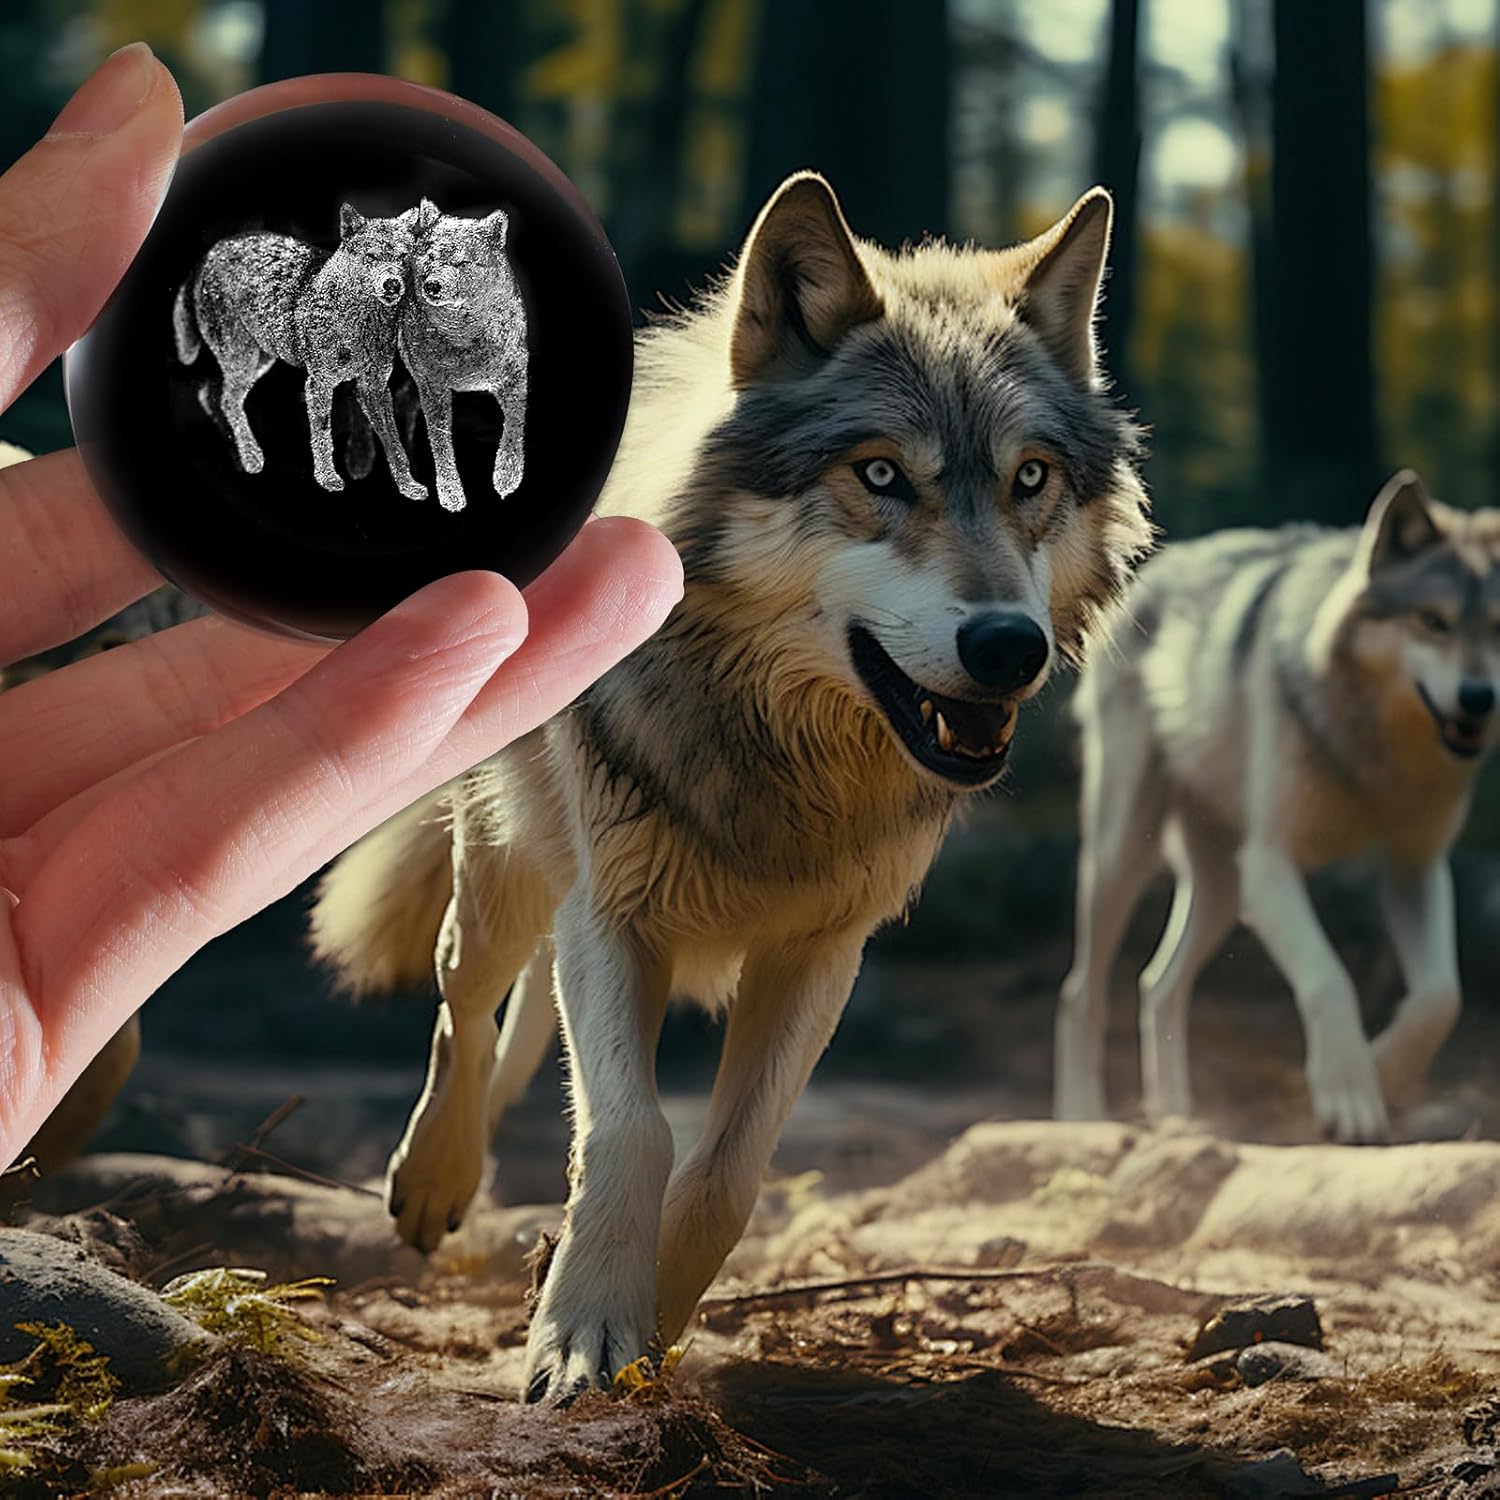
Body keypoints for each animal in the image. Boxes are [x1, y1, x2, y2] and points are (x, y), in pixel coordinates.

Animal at [172, 205, 427, 500]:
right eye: (371, 256)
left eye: (403, 257)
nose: (392, 284)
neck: (361, 323)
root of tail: (210, 253)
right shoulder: (319, 384)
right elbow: (323, 436)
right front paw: (328, 479)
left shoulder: (373, 387)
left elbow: (395, 443)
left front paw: (408, 485)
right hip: (243, 361)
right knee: (225, 399)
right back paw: (250, 456)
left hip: (258, 363)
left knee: (211, 394)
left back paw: (239, 455)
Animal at [397, 199, 527, 512]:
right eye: (430, 256)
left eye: (461, 262)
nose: (432, 285)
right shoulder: (434, 388)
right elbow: (441, 441)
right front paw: (451, 494)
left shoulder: (515, 374)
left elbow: (514, 423)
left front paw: (507, 476)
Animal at [1055, 472, 1500, 1143]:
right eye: (1433, 622)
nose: (1478, 699)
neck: (1373, 756)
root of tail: (1156, 564)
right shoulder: (1271, 866)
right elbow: (1328, 978)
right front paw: (1348, 1096)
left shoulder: (1415, 868)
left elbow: (1440, 998)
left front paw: (1381, 1070)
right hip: (1122, 858)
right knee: (1083, 990)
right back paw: (1083, 1117)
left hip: (1222, 888)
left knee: (1158, 984)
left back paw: (1178, 1117)